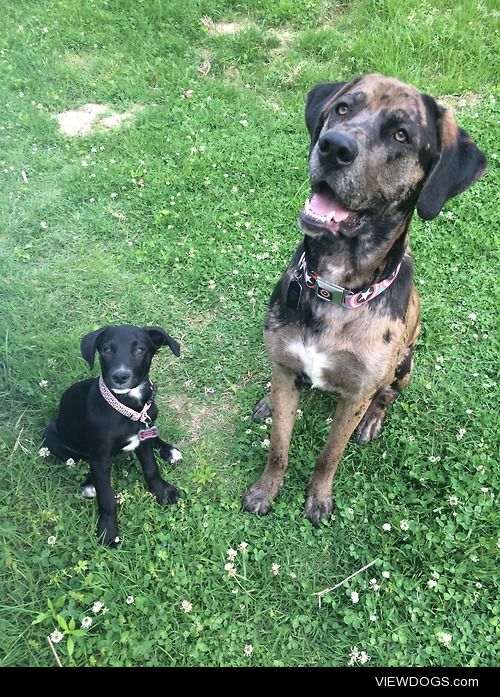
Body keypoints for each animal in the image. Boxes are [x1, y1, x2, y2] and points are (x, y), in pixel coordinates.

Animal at [44, 324, 182, 548]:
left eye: (140, 350)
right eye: (107, 350)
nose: (120, 376)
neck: (126, 408)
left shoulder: (142, 439)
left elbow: (151, 468)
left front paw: (162, 492)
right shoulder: (100, 458)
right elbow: (107, 498)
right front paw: (108, 532)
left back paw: (169, 450)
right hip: (51, 437)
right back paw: (89, 484)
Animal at [244, 73, 486, 524]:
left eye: (402, 134)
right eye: (343, 108)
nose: (333, 146)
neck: (336, 287)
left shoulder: (356, 395)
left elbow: (329, 454)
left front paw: (318, 498)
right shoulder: (285, 363)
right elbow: (278, 446)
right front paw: (266, 490)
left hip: (405, 363)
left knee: (388, 394)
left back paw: (374, 420)